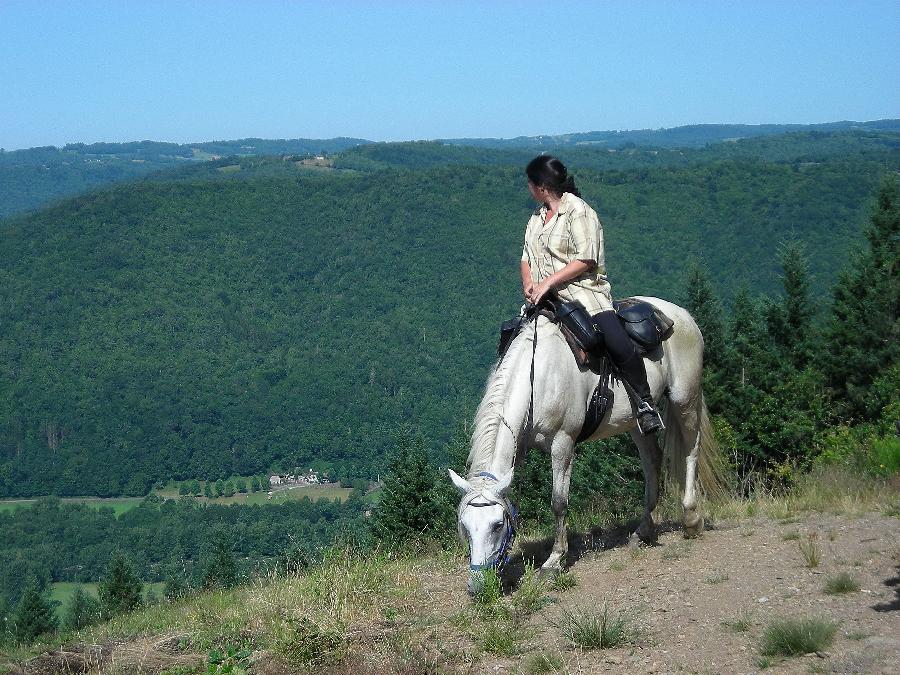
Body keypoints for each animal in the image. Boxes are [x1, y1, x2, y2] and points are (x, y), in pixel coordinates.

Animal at [450, 298, 724, 592]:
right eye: (464, 525)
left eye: (498, 524)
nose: (479, 585)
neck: (539, 376)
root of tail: (680, 314)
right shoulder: (518, 449)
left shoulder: (563, 442)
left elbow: (558, 502)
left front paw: (554, 561)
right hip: (636, 421)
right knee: (652, 459)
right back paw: (643, 532)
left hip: (685, 399)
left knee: (691, 449)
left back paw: (691, 520)